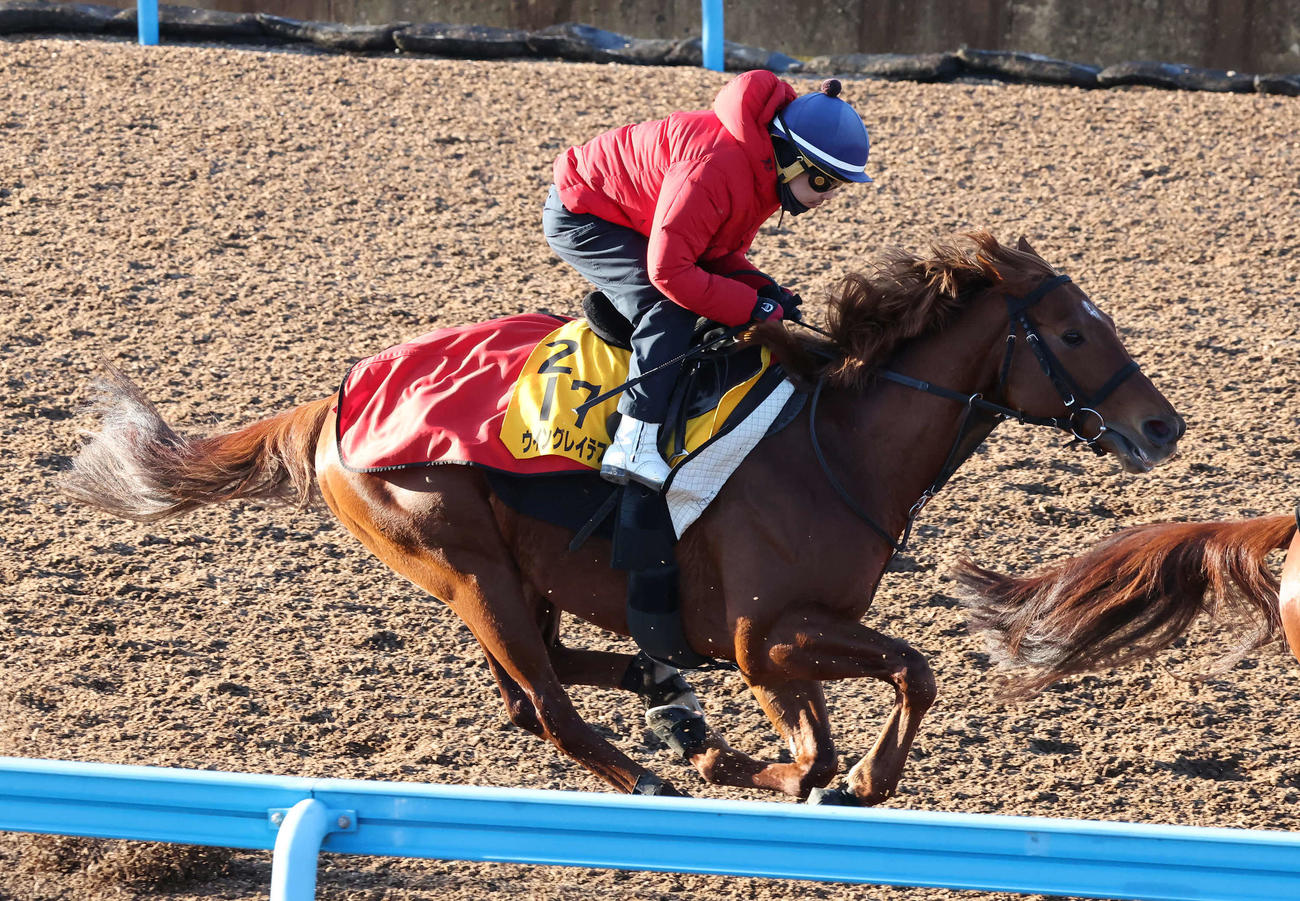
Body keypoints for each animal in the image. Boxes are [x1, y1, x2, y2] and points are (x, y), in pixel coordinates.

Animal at [60, 232, 1185, 805]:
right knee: (548, 703)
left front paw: (787, 762)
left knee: (544, 683)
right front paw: (823, 773)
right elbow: (891, 687)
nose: (1161, 425)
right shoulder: (765, 632)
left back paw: (677, 713)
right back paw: (656, 765)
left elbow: (873, 694)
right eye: (1074, 333)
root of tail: (337, 402)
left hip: (521, 575)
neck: (838, 445)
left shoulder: (786, 636)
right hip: (466, 566)